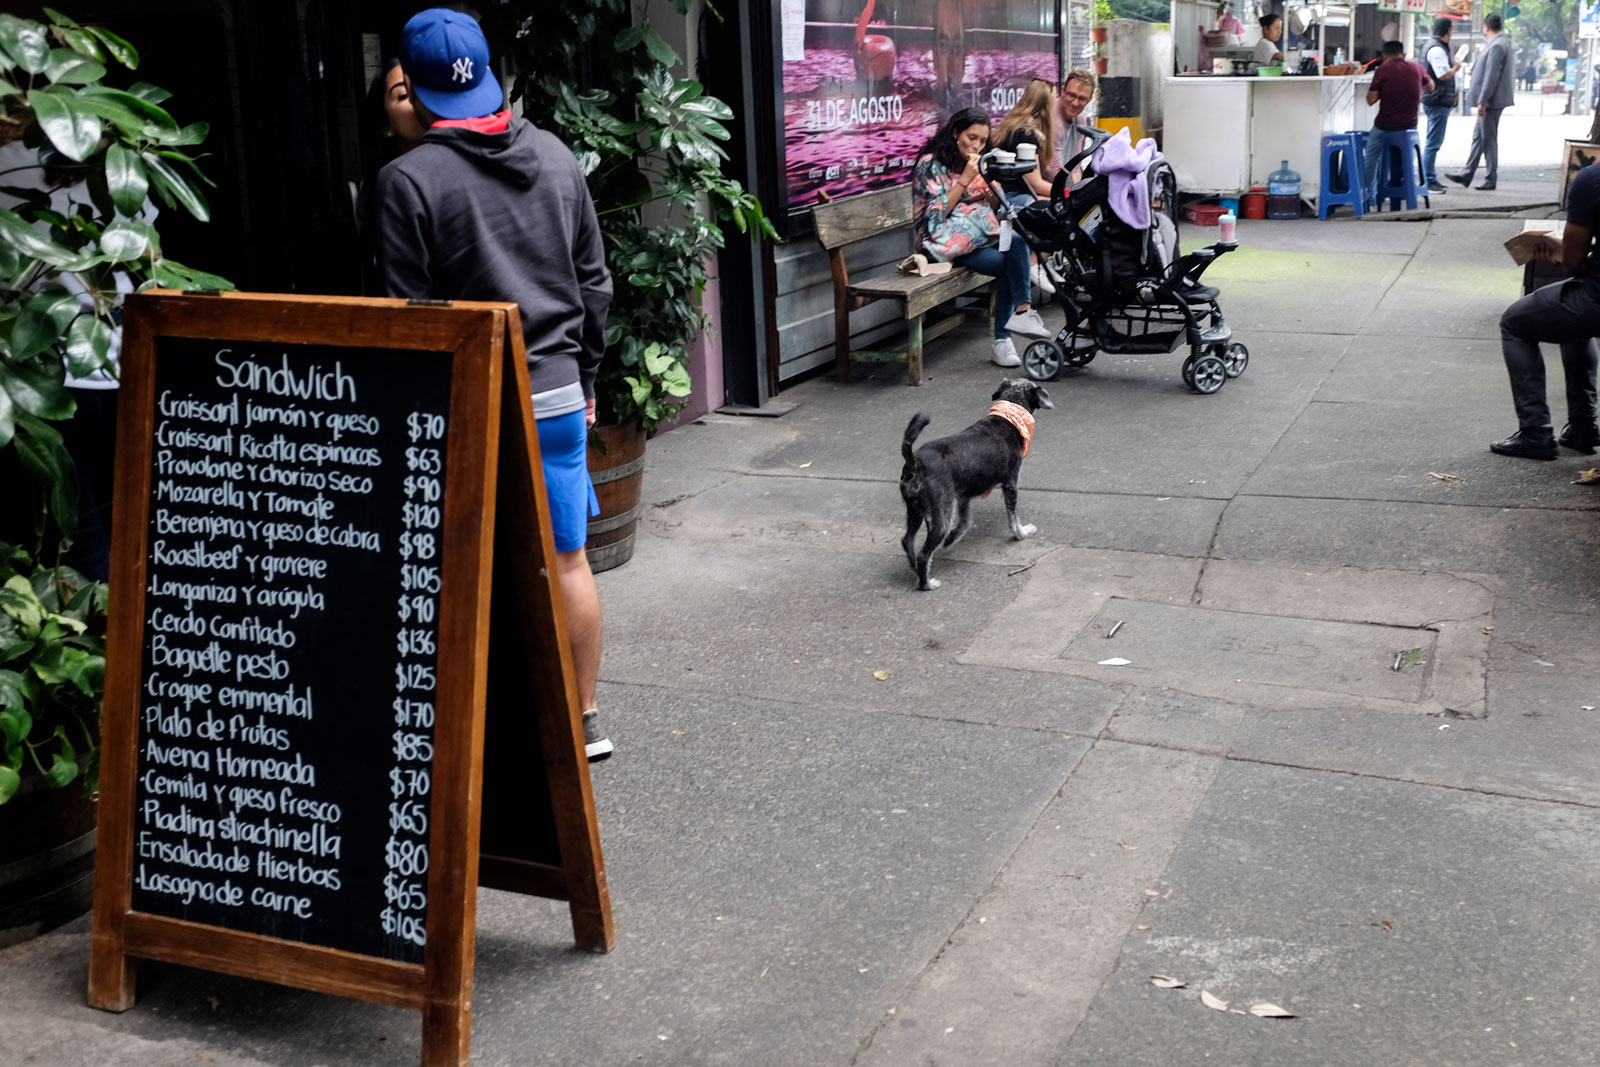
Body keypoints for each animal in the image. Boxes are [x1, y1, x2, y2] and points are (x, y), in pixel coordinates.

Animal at [902, 377, 1049, 591]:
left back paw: (915, 568)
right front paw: (1022, 533)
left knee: (907, 541)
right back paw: (927, 583)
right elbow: (1013, 518)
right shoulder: (1010, 484)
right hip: (941, 515)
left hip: (914, 512)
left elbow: (965, 521)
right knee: (923, 554)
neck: (1007, 419)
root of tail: (915, 462)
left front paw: (952, 538)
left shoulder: (964, 495)